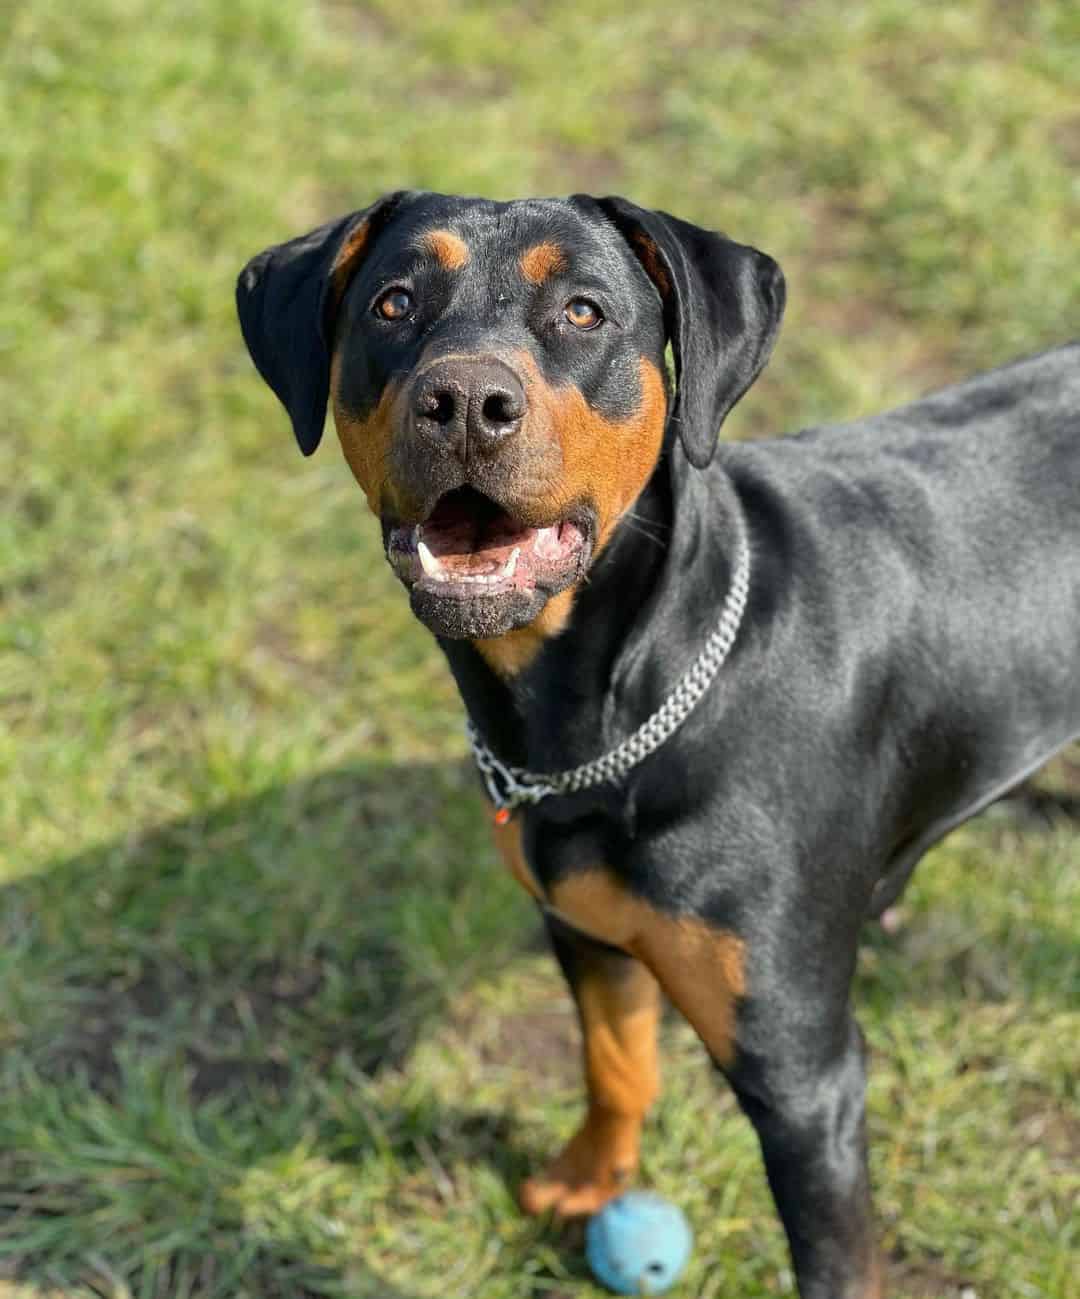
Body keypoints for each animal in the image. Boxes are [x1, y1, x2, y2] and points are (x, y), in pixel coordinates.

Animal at [239, 192, 1080, 1299]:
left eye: (584, 311)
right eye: (393, 302)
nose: (465, 400)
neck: (596, 722)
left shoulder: (806, 1081)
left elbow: (836, 1259)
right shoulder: (583, 926)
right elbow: (616, 1061)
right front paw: (590, 1178)